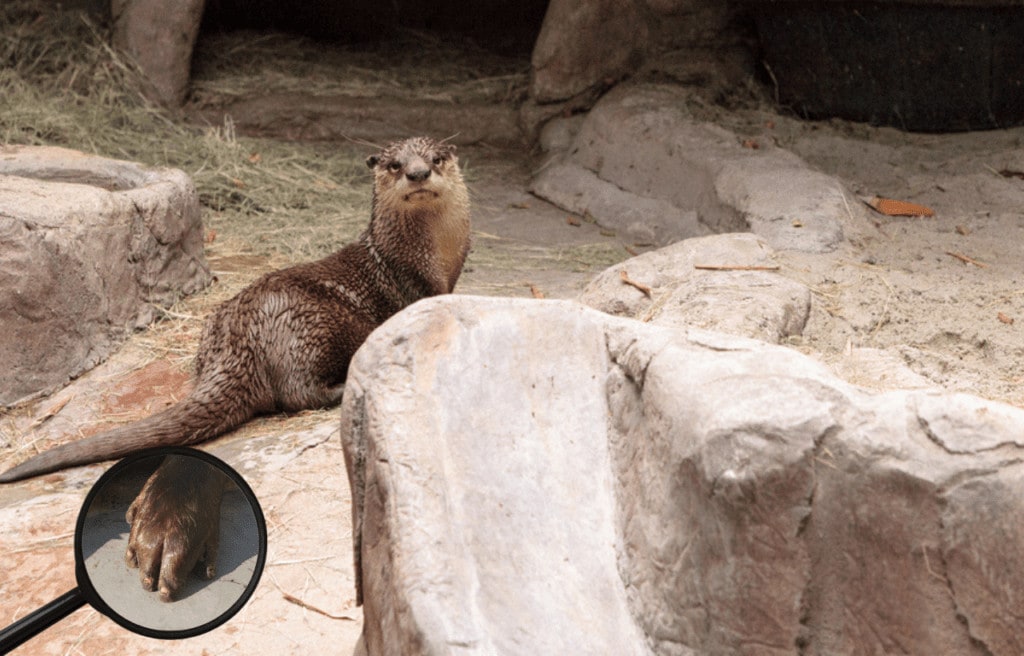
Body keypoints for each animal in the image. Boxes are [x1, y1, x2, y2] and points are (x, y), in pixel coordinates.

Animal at [0, 136, 471, 483]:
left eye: (436, 158)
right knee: (295, 392)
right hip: (312, 326)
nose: (417, 172)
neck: (419, 256)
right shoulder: (414, 286)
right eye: (394, 165)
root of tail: (239, 340)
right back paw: (340, 388)